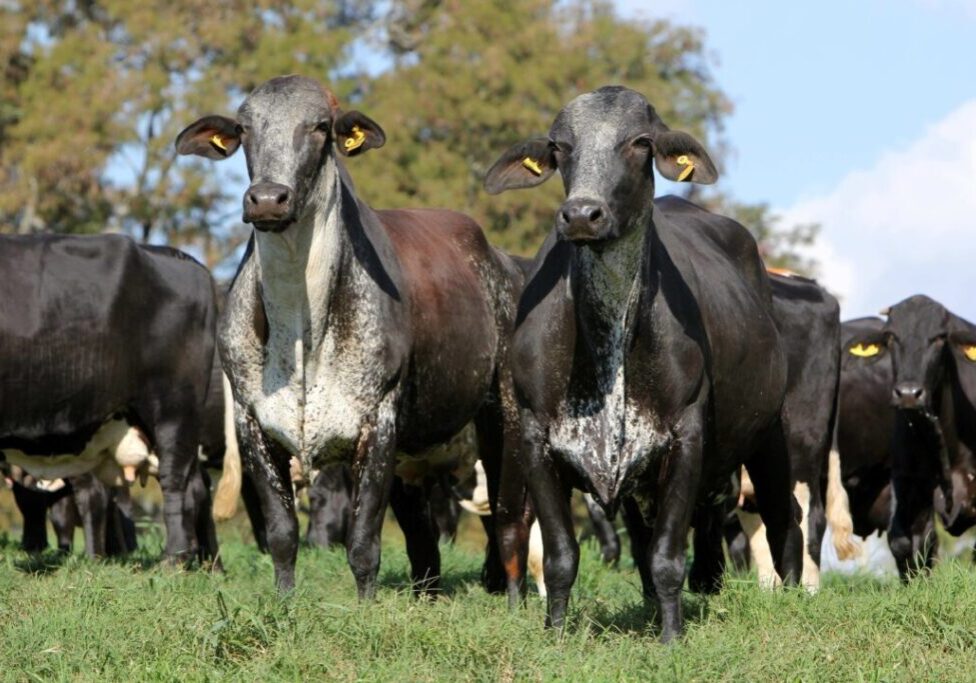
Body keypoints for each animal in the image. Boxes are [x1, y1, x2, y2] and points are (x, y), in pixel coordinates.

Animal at [176, 75, 529, 601]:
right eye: (244, 128)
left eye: (321, 126)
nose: (267, 199)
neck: (302, 328)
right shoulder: (252, 423)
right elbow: (282, 533)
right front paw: (285, 601)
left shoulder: (377, 423)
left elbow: (363, 541)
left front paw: (365, 607)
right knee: (423, 537)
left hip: (500, 419)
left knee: (507, 516)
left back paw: (512, 593)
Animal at [484, 85, 802, 641]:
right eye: (559, 146)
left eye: (640, 142)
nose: (581, 214)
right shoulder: (535, 438)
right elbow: (562, 556)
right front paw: (556, 636)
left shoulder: (686, 437)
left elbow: (667, 557)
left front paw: (672, 638)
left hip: (770, 434)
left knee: (784, 516)